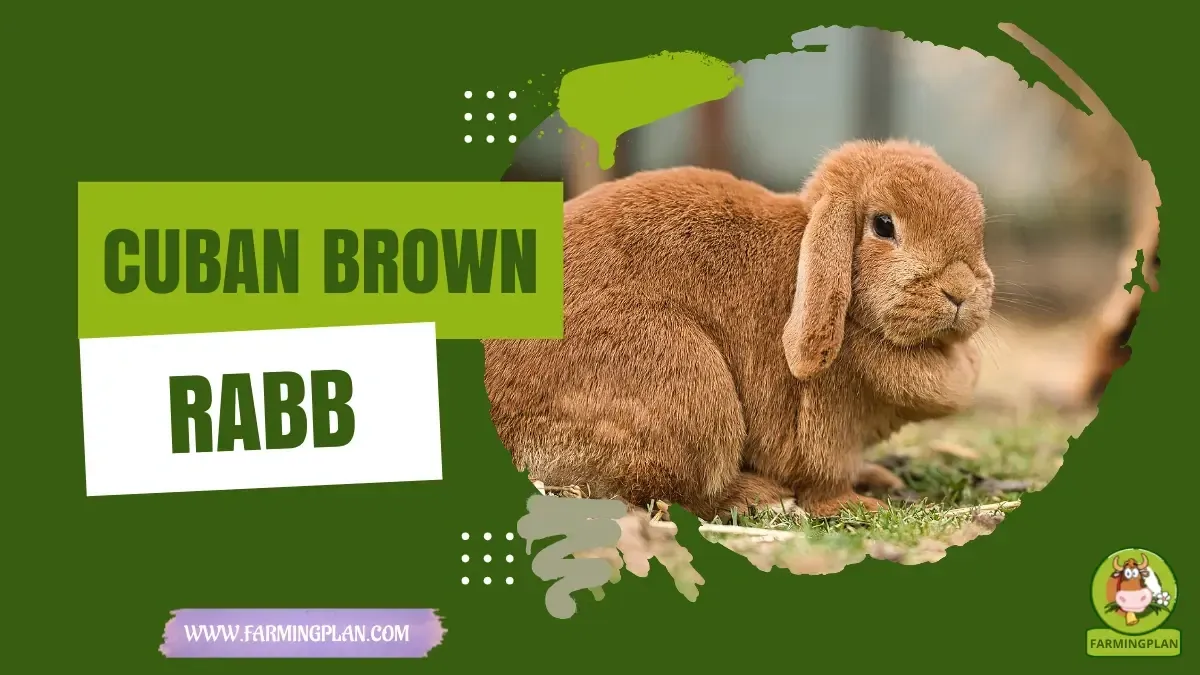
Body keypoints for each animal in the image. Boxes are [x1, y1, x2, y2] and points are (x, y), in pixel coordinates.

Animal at [483, 139, 992, 520]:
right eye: (884, 225)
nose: (961, 290)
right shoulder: (826, 428)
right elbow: (824, 481)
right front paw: (860, 505)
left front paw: (878, 479)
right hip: (692, 392)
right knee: (676, 496)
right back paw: (760, 496)